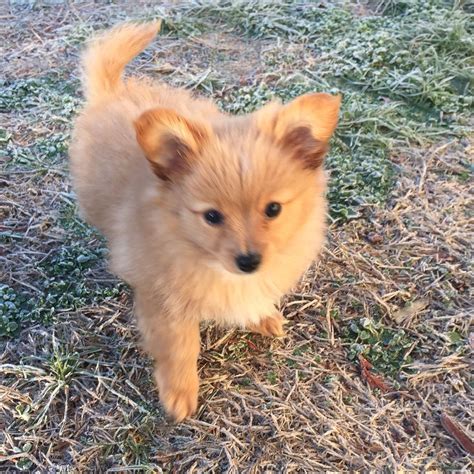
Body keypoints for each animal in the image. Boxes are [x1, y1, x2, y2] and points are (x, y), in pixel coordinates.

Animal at [69, 22, 340, 422]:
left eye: (273, 209)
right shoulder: (166, 305)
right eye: (212, 216)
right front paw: (180, 392)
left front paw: (260, 315)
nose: (249, 261)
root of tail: (113, 92)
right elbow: (181, 348)